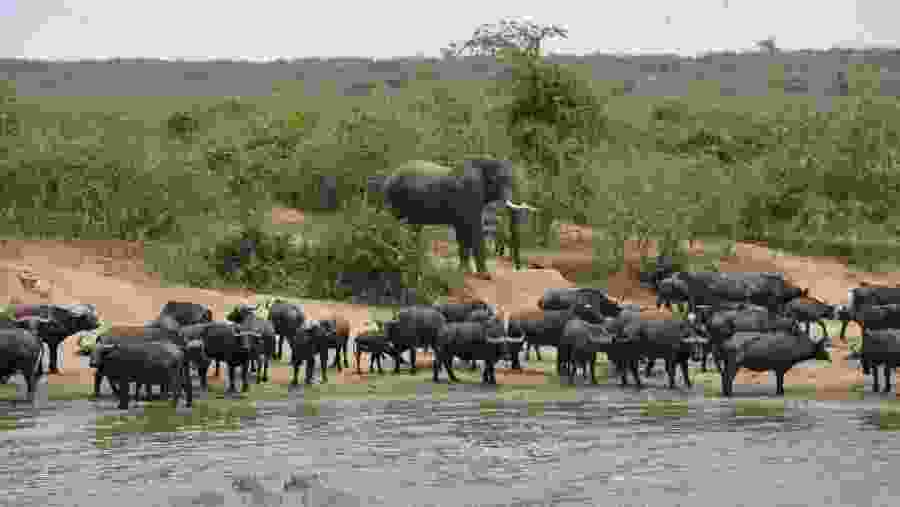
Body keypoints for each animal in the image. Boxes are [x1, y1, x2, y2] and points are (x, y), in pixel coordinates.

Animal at [381, 159, 536, 275]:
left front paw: (464, 271)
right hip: (394, 198)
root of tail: (391, 175)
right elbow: (473, 228)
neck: (484, 162)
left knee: (412, 227)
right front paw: (485, 276)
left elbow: (463, 233)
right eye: (502, 180)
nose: (518, 269)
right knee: (395, 223)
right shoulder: (469, 193)